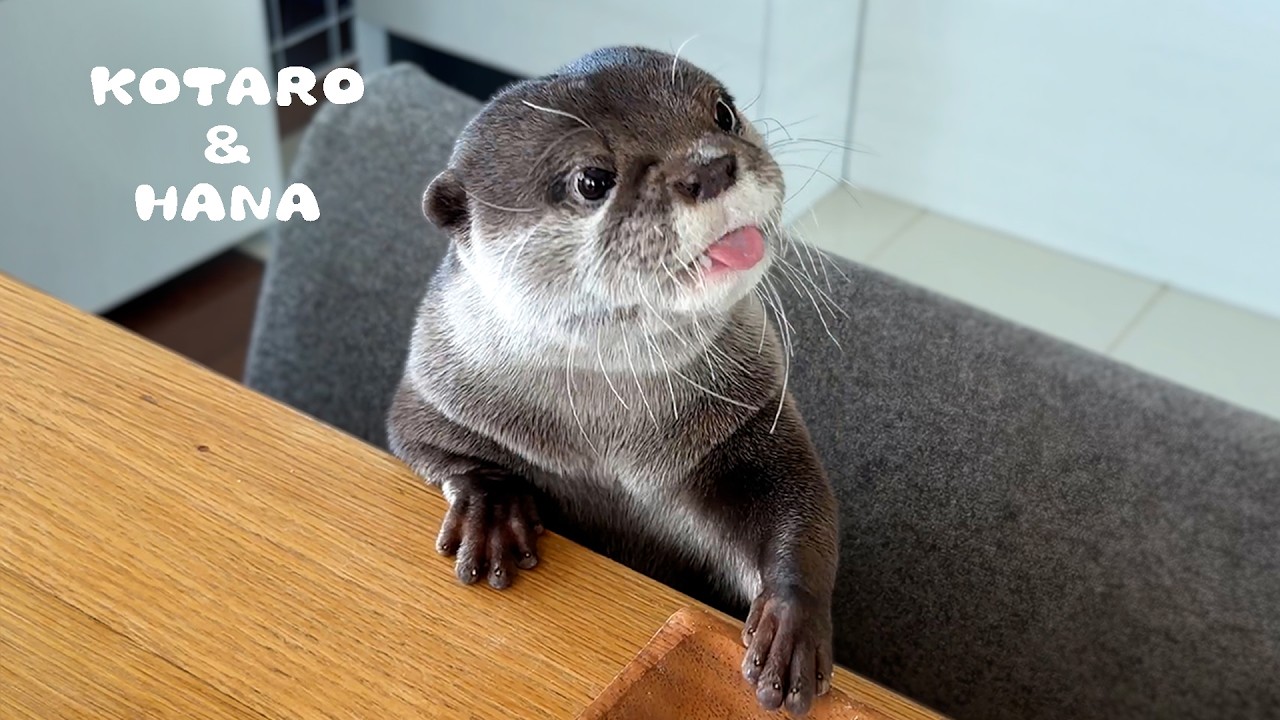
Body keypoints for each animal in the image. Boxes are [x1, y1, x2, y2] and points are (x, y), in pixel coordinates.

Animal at [387, 46, 839, 716]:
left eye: (723, 113)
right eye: (591, 181)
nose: (709, 166)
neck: (611, 445)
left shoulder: (757, 414)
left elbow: (804, 505)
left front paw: (790, 622)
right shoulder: (434, 389)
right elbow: (421, 441)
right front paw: (491, 509)